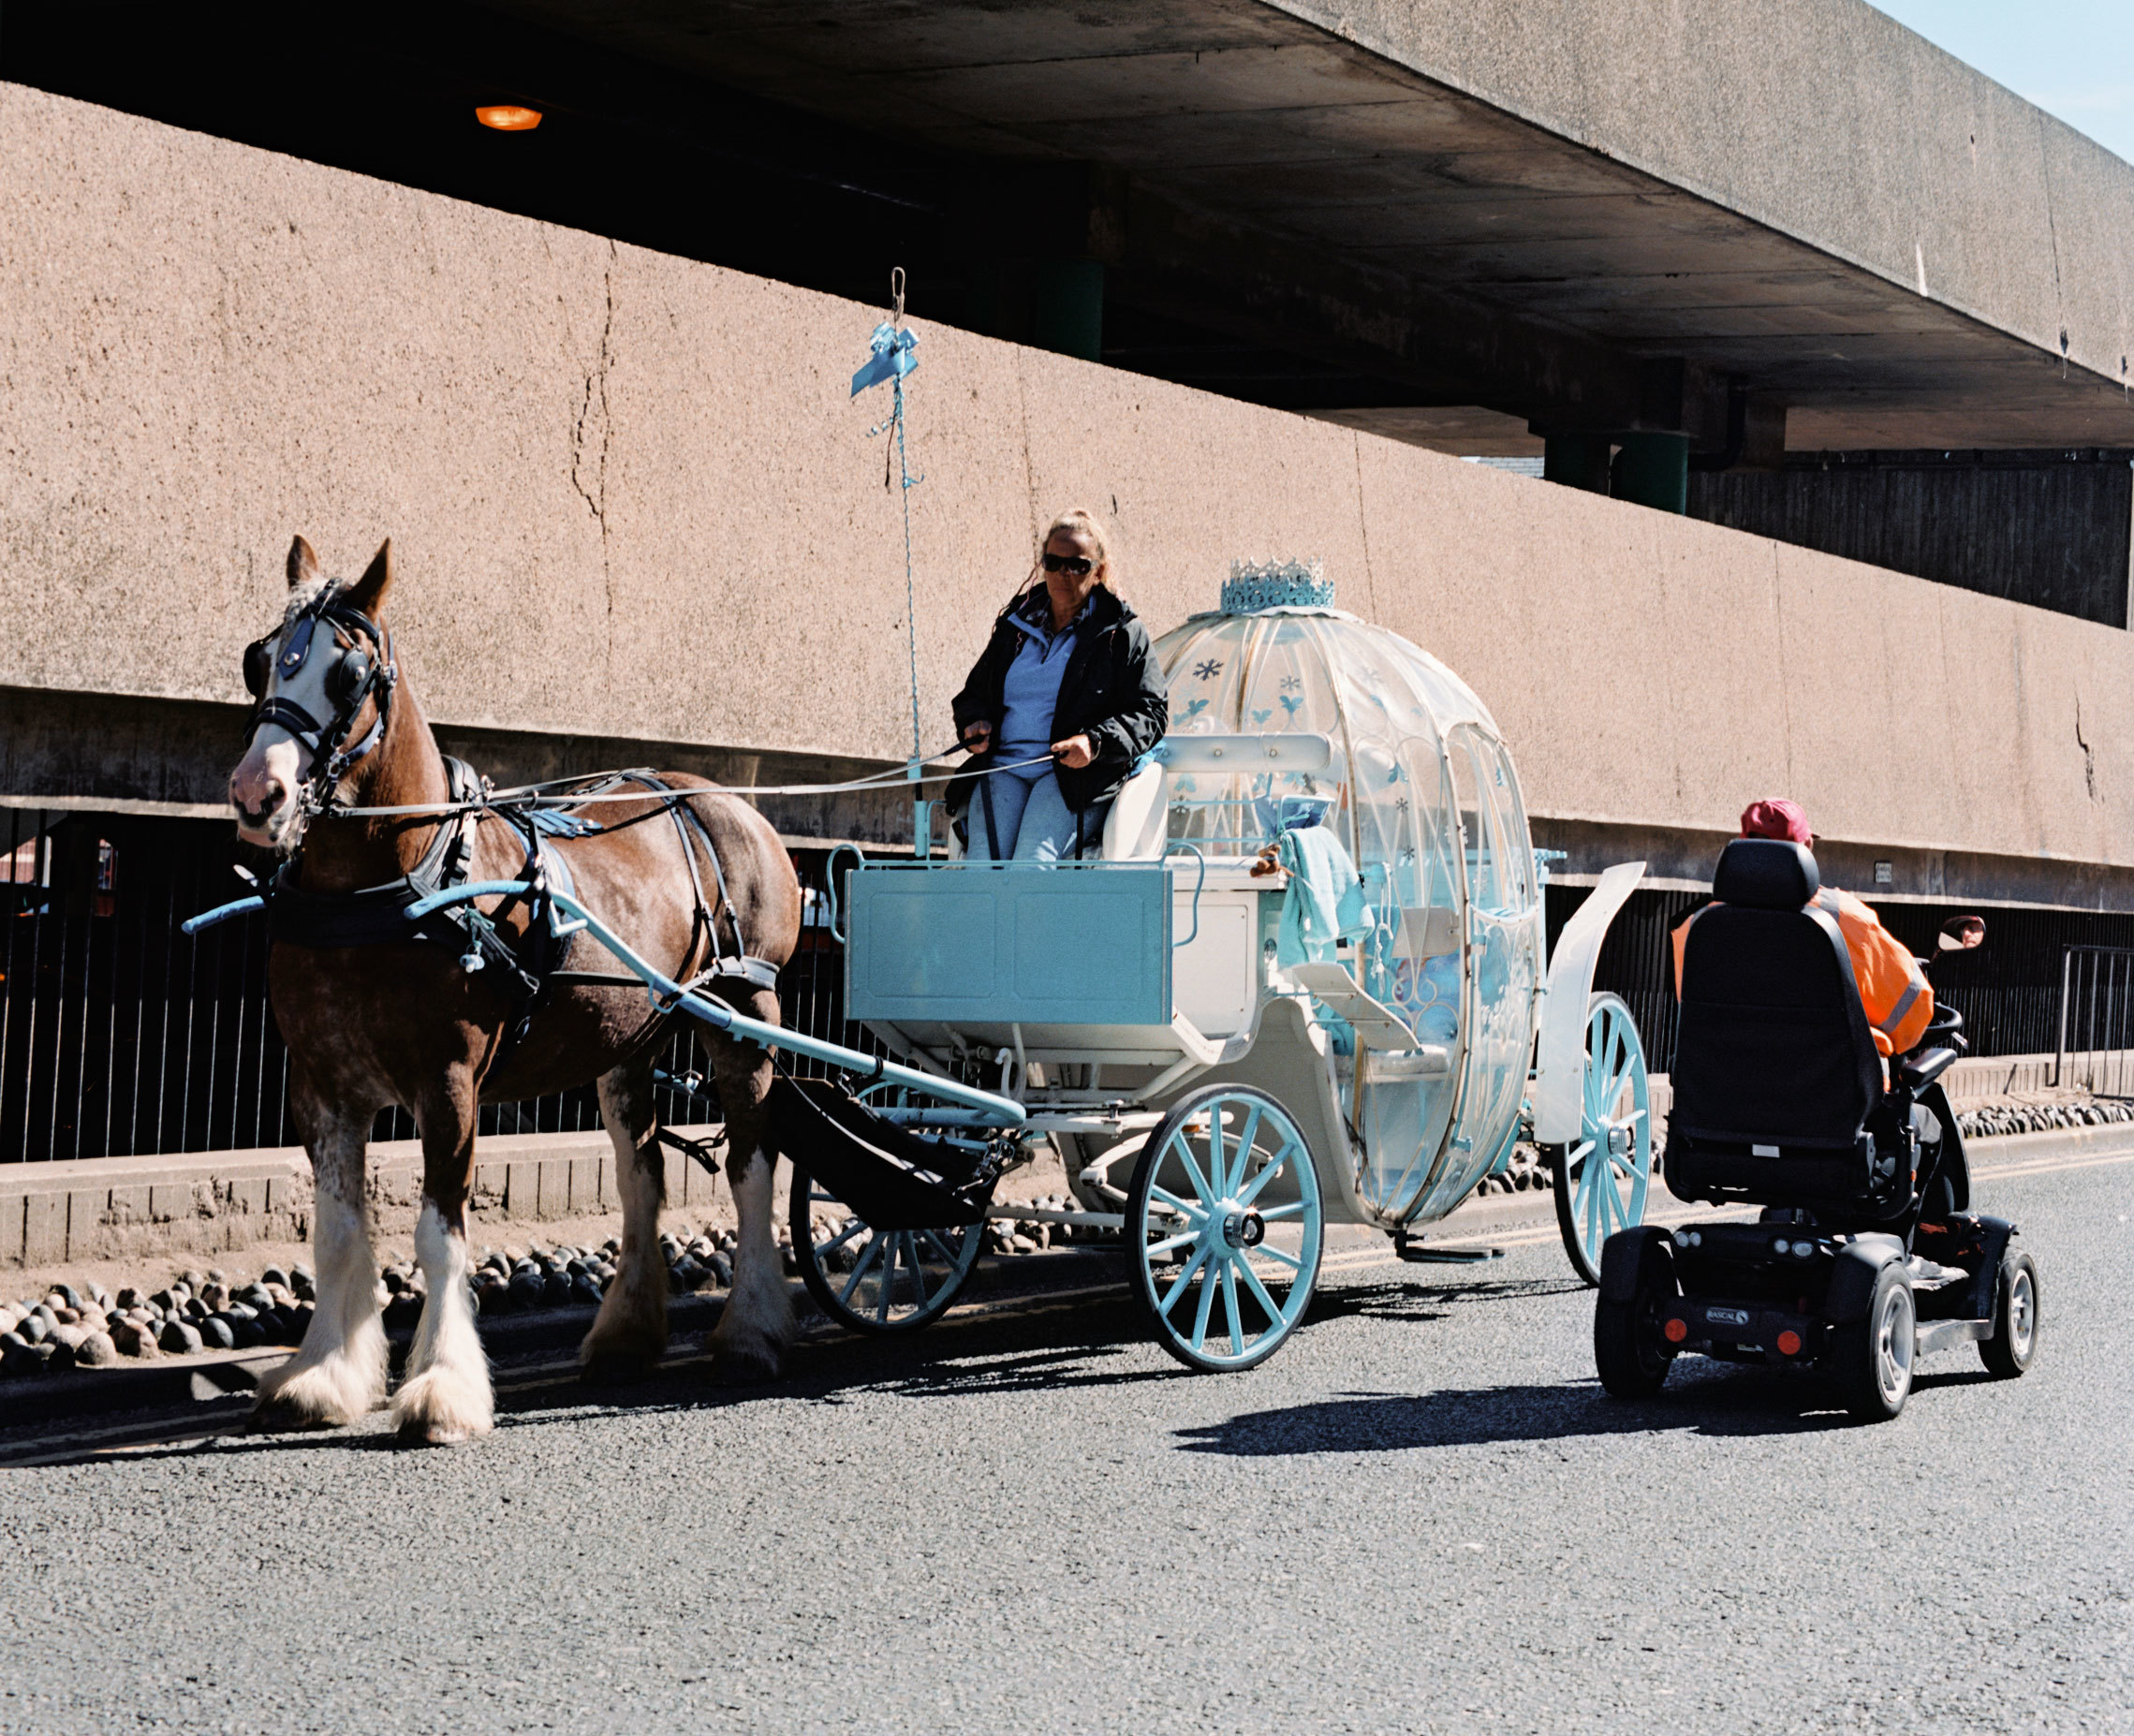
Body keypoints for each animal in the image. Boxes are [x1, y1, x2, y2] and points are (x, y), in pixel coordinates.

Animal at [228, 537, 802, 1449]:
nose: (259, 794)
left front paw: (440, 1391)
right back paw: (625, 1332)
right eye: (260, 661)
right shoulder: (322, 1087)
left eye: (350, 675)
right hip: (626, 1042)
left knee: (751, 1166)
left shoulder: (448, 1083)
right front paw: (323, 1375)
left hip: (745, 1019)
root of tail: (723, 804)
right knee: (640, 1174)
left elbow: (439, 1236)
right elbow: (339, 1232)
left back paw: (750, 1328)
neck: (394, 886)